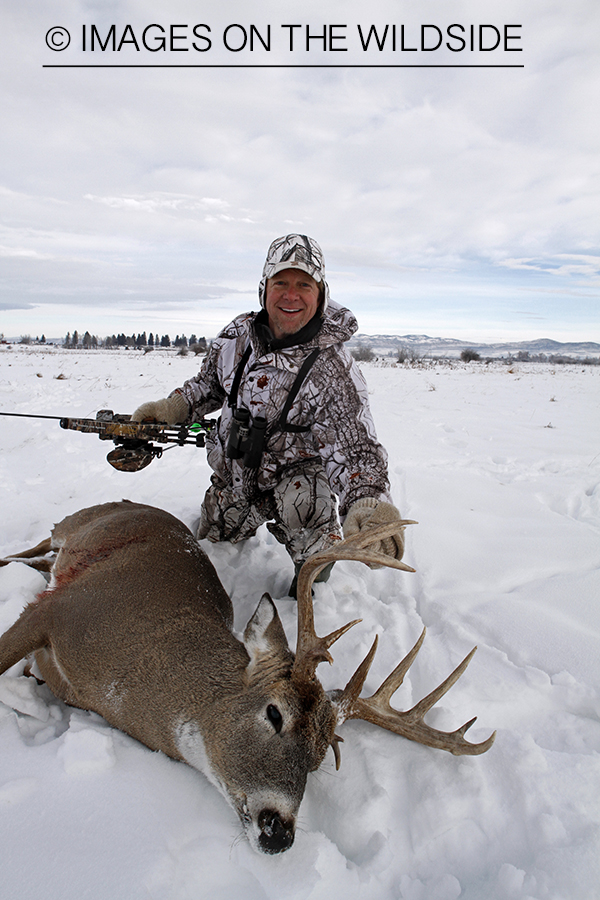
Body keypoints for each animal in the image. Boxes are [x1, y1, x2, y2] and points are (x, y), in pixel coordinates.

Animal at [0, 500, 495, 854]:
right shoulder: (59, 609)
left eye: (318, 759)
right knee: (36, 546)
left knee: (39, 560)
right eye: (274, 713)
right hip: (72, 525)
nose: (279, 831)